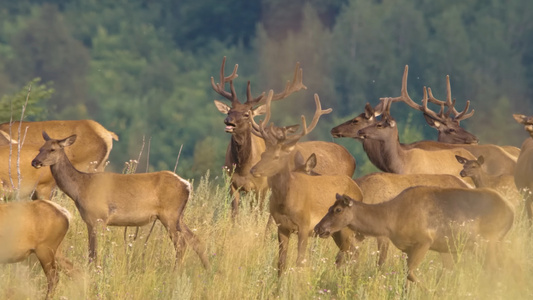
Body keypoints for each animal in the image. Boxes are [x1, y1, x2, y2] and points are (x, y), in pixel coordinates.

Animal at [30, 132, 210, 268]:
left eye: (52, 149)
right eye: (40, 148)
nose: (35, 161)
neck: (80, 188)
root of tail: (187, 185)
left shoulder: (100, 217)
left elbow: (96, 252)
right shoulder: (89, 220)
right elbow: (90, 252)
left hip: (170, 214)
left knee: (181, 244)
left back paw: (176, 272)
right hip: (178, 216)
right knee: (197, 241)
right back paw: (207, 271)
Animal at [211, 56, 354, 216]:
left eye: (247, 114)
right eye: (229, 111)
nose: (228, 121)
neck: (243, 168)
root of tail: (350, 156)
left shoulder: (262, 187)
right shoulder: (232, 184)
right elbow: (234, 214)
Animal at [314, 190, 512, 284]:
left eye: (337, 210)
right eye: (328, 207)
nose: (318, 228)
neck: (390, 220)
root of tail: (511, 210)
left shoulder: (424, 242)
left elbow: (410, 273)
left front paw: (431, 290)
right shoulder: (407, 247)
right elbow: (405, 276)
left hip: (488, 241)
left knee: (494, 269)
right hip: (494, 244)